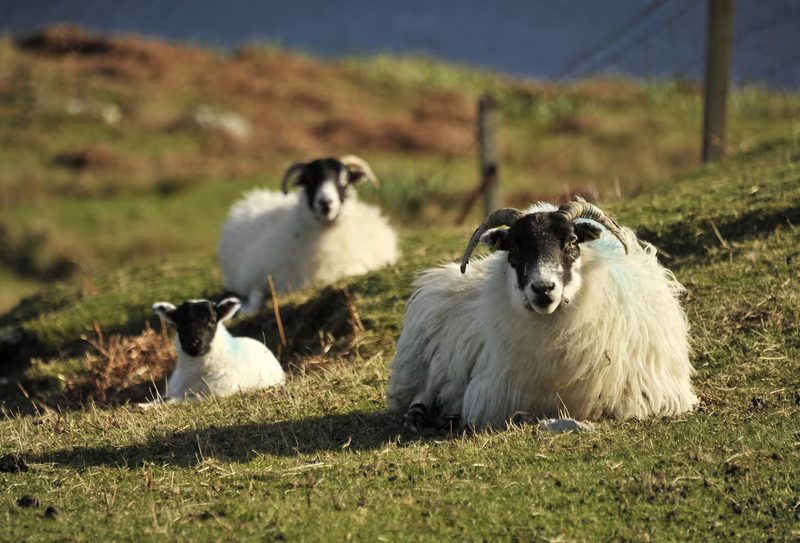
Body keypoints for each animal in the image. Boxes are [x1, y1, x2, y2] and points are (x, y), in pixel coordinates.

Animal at [218, 155, 399, 314]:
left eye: (344, 181)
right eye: (309, 181)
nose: (325, 203)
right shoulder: (259, 274)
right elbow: (255, 293)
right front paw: (246, 308)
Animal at [387, 200, 697, 431]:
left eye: (572, 242)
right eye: (513, 249)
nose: (543, 288)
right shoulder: (492, 396)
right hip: (422, 361)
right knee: (423, 392)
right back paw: (421, 416)